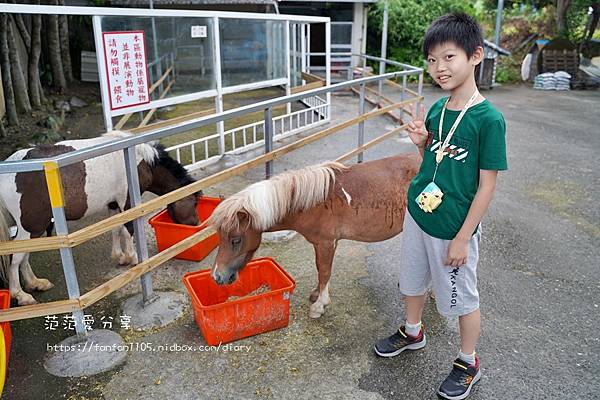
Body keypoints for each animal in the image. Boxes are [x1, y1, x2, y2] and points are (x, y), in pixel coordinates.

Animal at [209, 153, 420, 318]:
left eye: (236, 240)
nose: (217, 277)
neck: (316, 202)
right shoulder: (320, 244)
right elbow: (320, 268)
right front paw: (316, 294)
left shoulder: (327, 243)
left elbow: (325, 271)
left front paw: (319, 305)